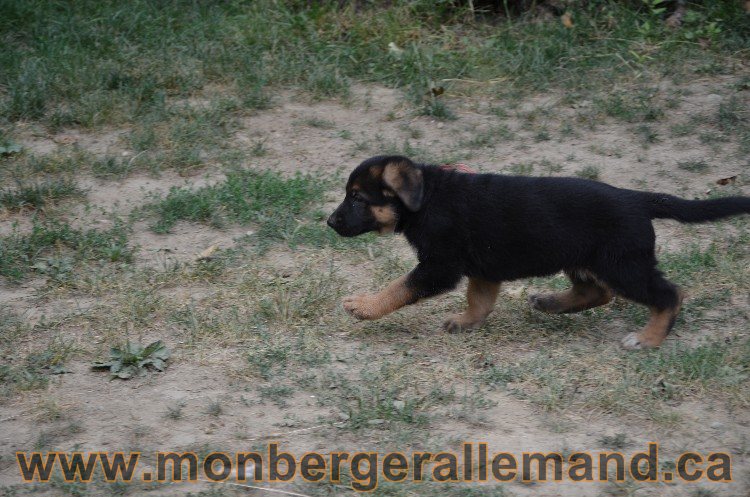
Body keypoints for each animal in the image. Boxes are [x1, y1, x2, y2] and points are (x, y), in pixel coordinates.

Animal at [328, 155, 750, 348]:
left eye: (357, 197)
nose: (330, 222)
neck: (428, 198)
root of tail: (638, 199)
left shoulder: (440, 265)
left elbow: (398, 287)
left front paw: (364, 306)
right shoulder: (484, 266)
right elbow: (480, 300)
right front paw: (466, 323)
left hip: (623, 264)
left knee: (668, 294)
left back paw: (648, 338)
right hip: (586, 259)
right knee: (596, 291)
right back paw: (550, 303)